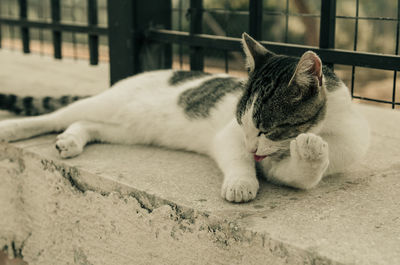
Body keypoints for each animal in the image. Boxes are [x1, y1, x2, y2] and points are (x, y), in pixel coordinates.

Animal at [0, 33, 370, 202]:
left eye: (269, 130)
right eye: (243, 124)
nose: (252, 148)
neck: (331, 127)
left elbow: (299, 175)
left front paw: (310, 152)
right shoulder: (228, 137)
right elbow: (236, 158)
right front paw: (241, 182)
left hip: (126, 129)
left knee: (86, 125)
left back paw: (70, 141)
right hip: (106, 104)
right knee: (56, 115)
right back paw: (11, 128)